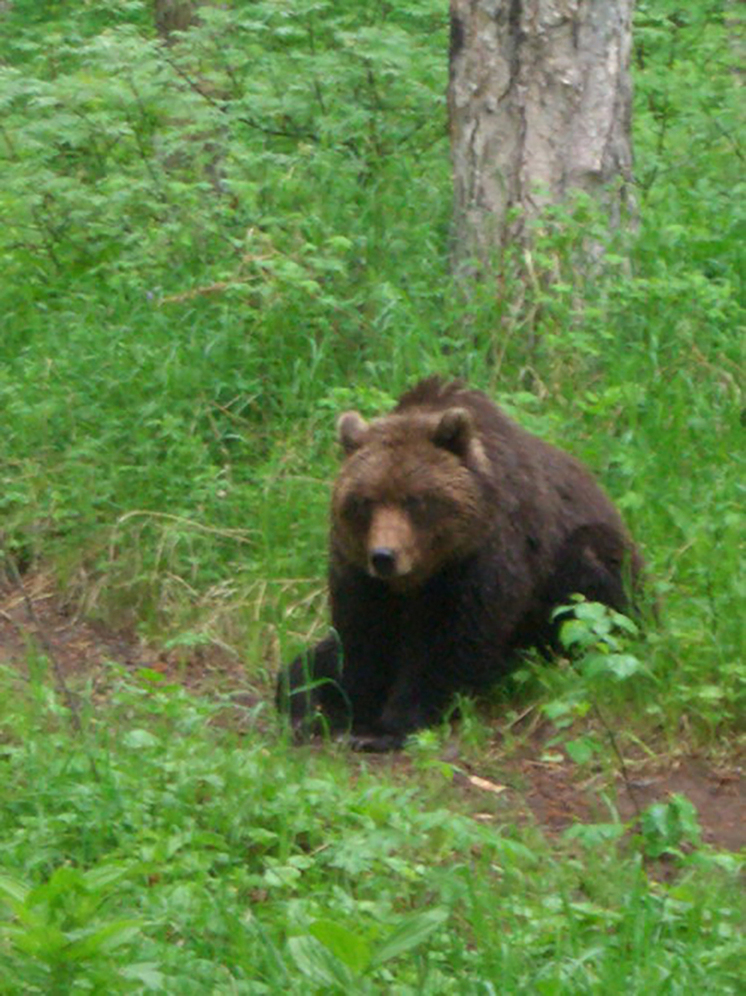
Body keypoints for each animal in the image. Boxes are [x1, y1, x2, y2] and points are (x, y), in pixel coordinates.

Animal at [276, 378, 644, 752]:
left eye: (415, 500)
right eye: (365, 501)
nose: (384, 556)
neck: (419, 577)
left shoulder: (480, 560)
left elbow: (450, 644)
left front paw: (387, 726)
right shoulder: (359, 572)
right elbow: (359, 639)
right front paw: (327, 708)